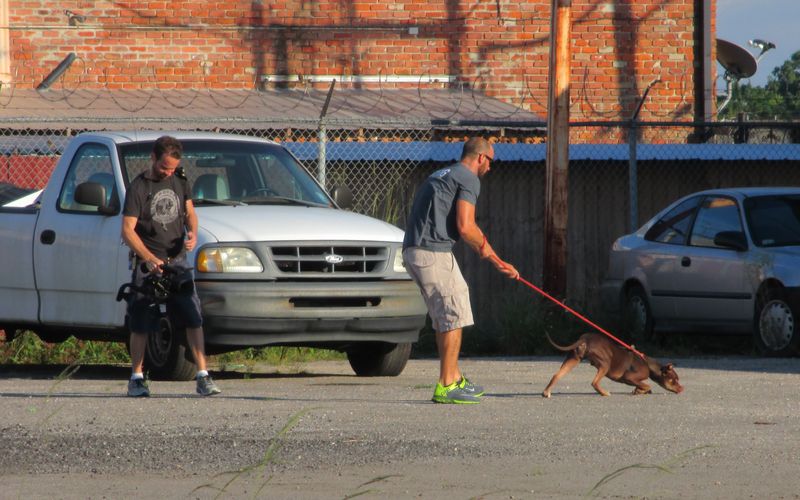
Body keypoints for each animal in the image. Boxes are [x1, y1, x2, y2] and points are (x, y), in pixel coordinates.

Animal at [544, 332, 680, 398]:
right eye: (674, 380)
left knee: (556, 375)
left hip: (573, 359)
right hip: (605, 363)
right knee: (594, 383)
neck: (648, 364)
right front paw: (639, 391)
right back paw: (604, 393)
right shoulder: (629, 378)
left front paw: (639, 390)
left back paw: (546, 392)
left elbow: (644, 387)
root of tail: (585, 339)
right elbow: (647, 385)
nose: (682, 389)